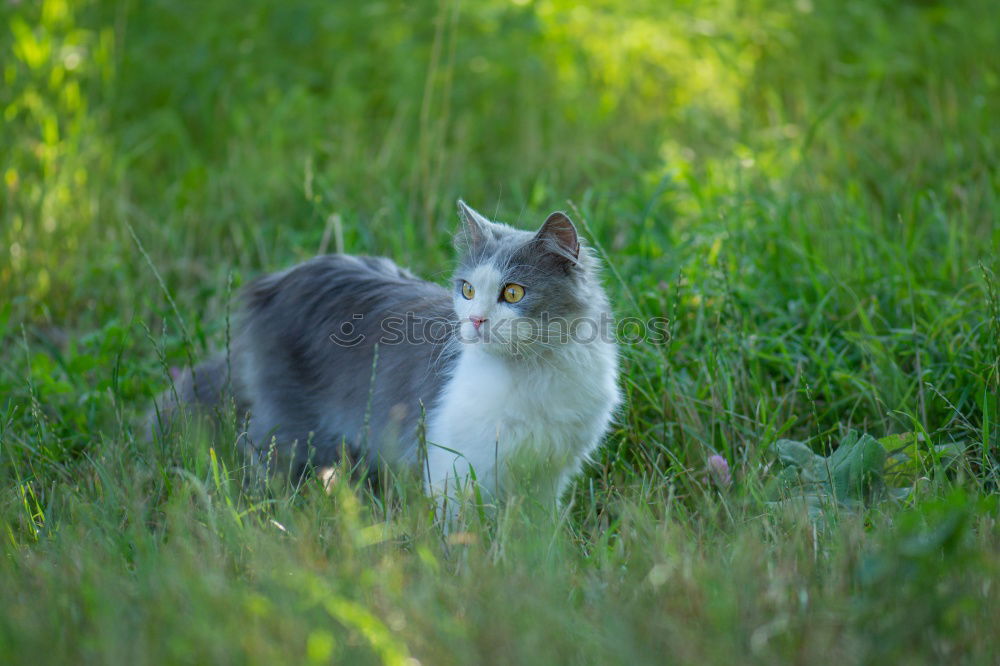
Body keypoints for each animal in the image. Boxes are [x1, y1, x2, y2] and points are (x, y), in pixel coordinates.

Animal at [149, 201, 620, 512]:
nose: (477, 320)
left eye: (514, 293)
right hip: (290, 430)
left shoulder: (549, 473)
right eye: (468, 289)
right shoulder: (456, 469)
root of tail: (278, 282)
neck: (536, 370)